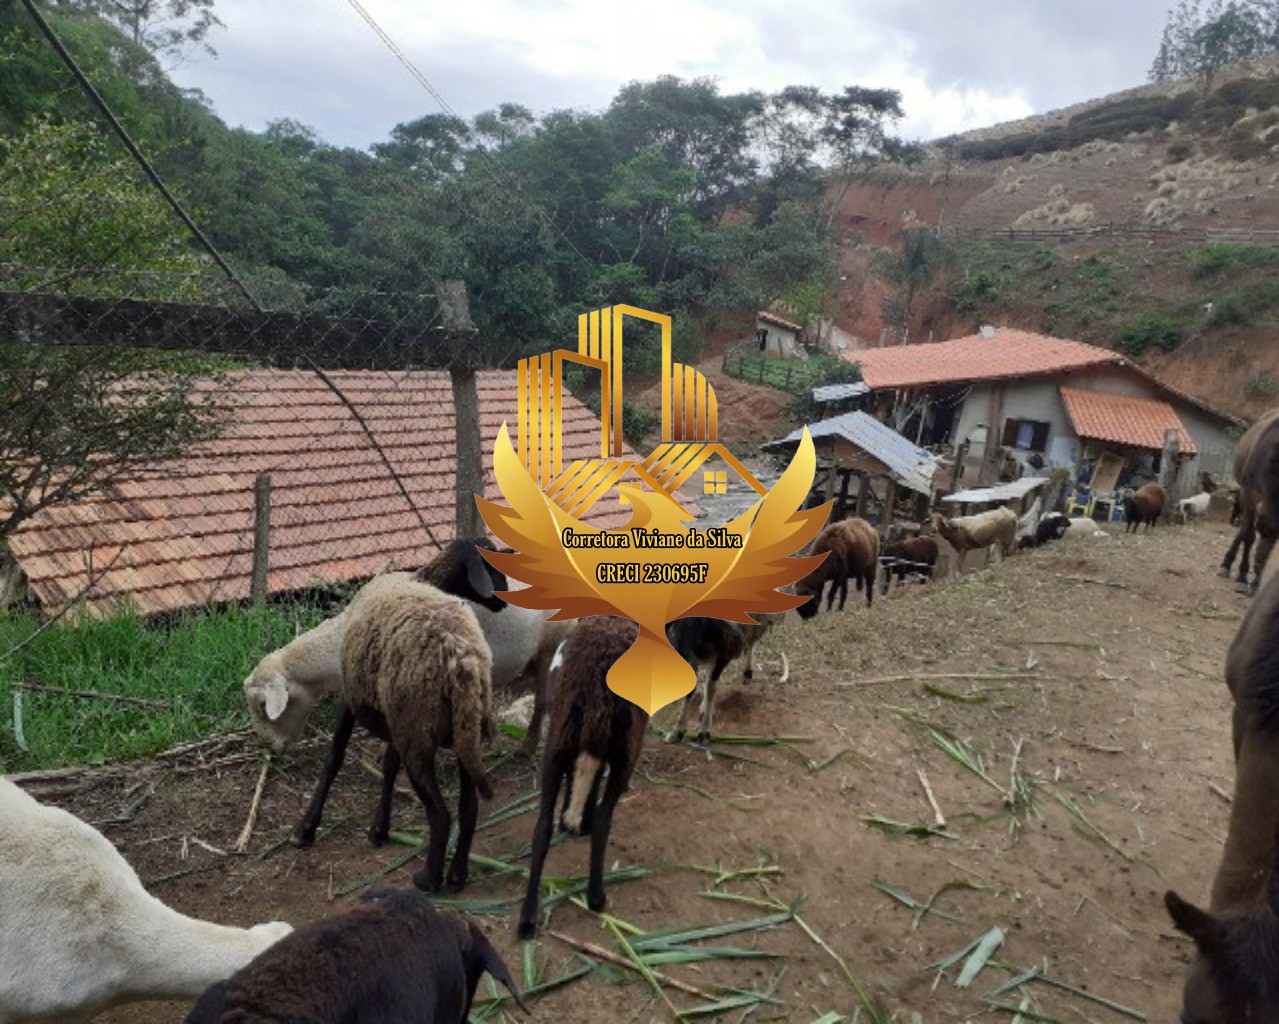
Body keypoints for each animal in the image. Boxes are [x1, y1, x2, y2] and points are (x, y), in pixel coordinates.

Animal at [514, 611, 644, 940]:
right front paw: (580, 821)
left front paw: (572, 820)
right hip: (624, 746)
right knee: (604, 820)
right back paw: (596, 896)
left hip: (559, 739)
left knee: (541, 827)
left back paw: (527, 917)